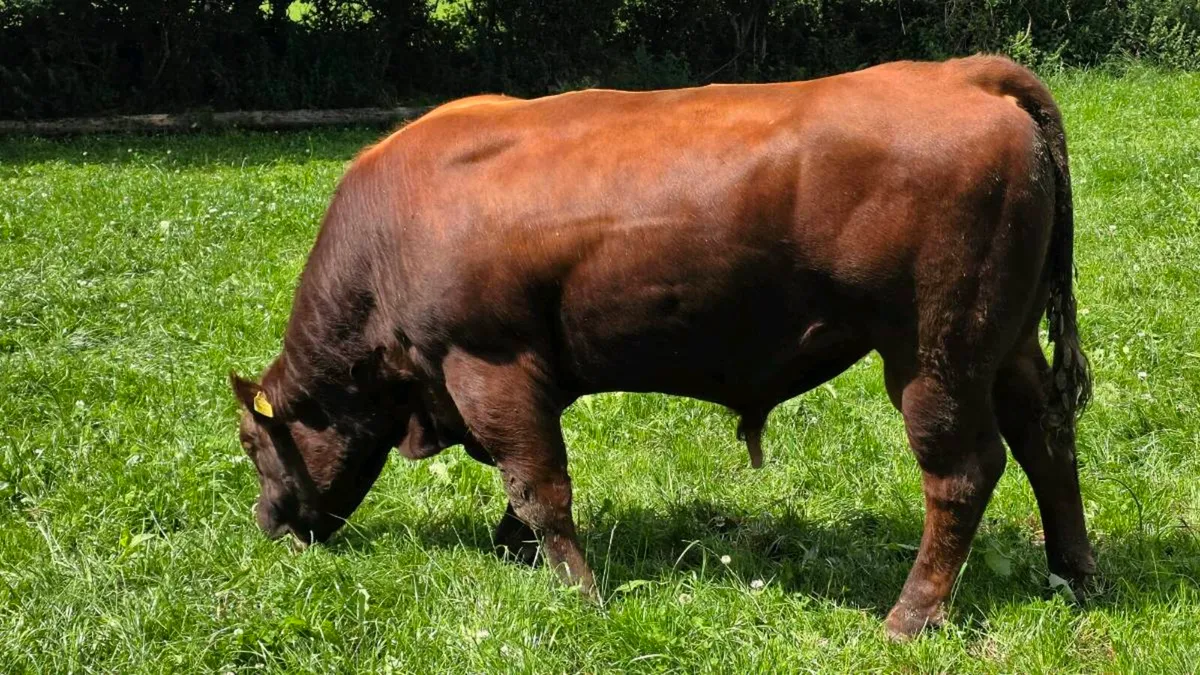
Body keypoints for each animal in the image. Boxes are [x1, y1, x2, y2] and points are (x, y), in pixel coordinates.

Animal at [230, 55, 1094, 640]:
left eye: (251, 441)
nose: (267, 522)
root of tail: (965, 74)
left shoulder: (488, 365)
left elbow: (539, 485)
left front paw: (581, 593)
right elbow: (522, 487)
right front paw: (516, 552)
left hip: (934, 356)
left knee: (962, 474)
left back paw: (908, 616)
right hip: (1007, 345)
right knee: (1048, 444)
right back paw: (1075, 575)